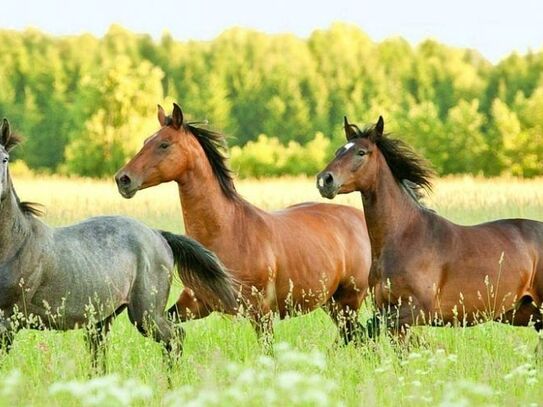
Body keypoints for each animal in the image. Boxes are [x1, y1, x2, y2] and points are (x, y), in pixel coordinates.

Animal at [0, 118, 236, 370]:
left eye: (4, 158)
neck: (17, 244)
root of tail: (158, 234)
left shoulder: (8, 319)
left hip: (146, 314)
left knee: (175, 337)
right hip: (103, 319)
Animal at [112, 103, 372, 344]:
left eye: (164, 144)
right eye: (146, 141)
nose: (123, 179)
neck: (227, 231)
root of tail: (360, 219)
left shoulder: (260, 311)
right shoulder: (195, 303)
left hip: (348, 301)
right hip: (332, 303)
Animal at [316, 116, 543, 340]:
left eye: (361, 152)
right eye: (338, 151)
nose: (324, 180)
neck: (405, 237)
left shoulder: (414, 312)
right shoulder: (386, 310)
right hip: (521, 311)